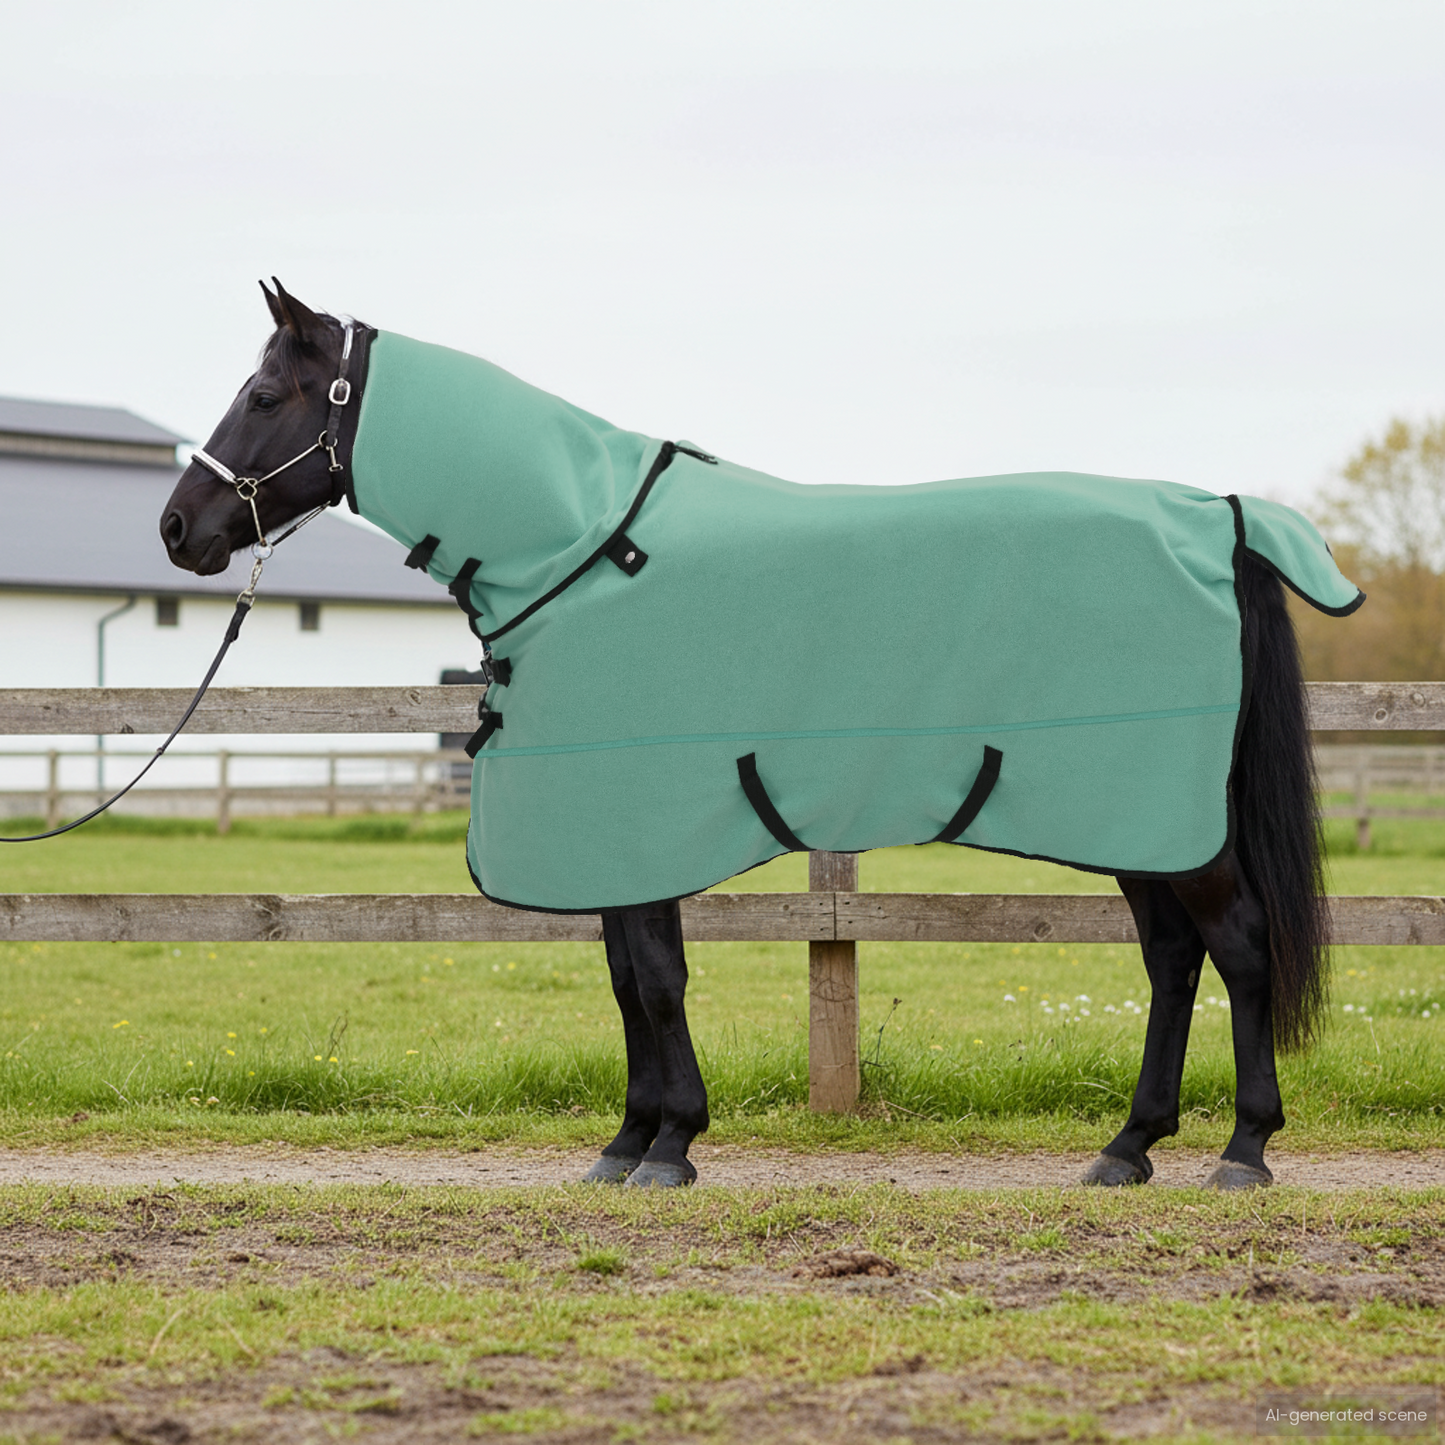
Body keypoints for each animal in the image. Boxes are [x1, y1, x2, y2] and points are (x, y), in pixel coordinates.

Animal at [160, 280, 1343, 1191]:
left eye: (263, 394)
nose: (179, 529)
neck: (584, 544)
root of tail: (1217, 514)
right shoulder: (616, 837)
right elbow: (628, 978)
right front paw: (629, 1139)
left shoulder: (640, 821)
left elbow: (656, 978)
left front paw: (669, 1143)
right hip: (1138, 824)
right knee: (1172, 959)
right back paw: (1126, 1146)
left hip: (1164, 820)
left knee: (1238, 947)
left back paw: (1241, 1149)